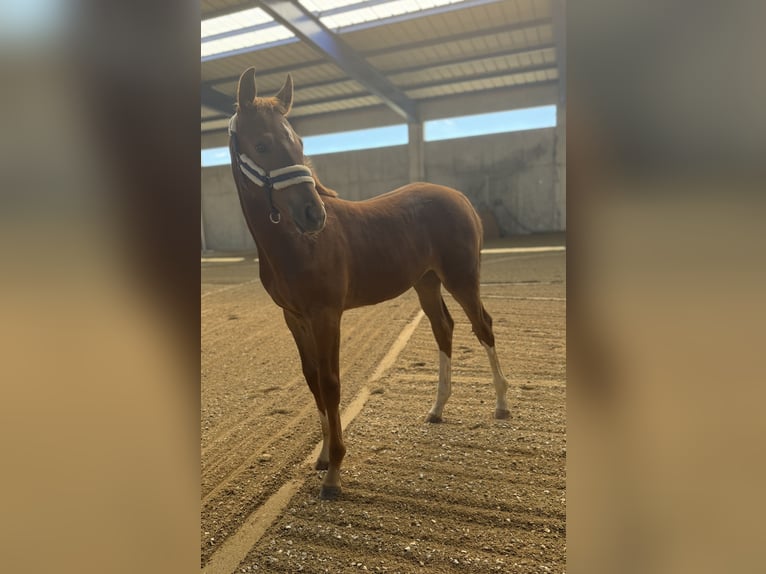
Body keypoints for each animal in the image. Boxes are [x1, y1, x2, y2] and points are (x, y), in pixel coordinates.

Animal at [228, 67, 510, 499]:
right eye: (261, 143)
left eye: (299, 142)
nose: (314, 214)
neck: (299, 245)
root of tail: (459, 197)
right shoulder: (294, 318)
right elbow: (312, 381)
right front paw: (322, 456)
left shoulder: (327, 315)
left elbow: (330, 383)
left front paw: (334, 473)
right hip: (426, 283)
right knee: (443, 328)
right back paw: (437, 409)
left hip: (462, 279)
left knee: (483, 326)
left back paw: (501, 405)